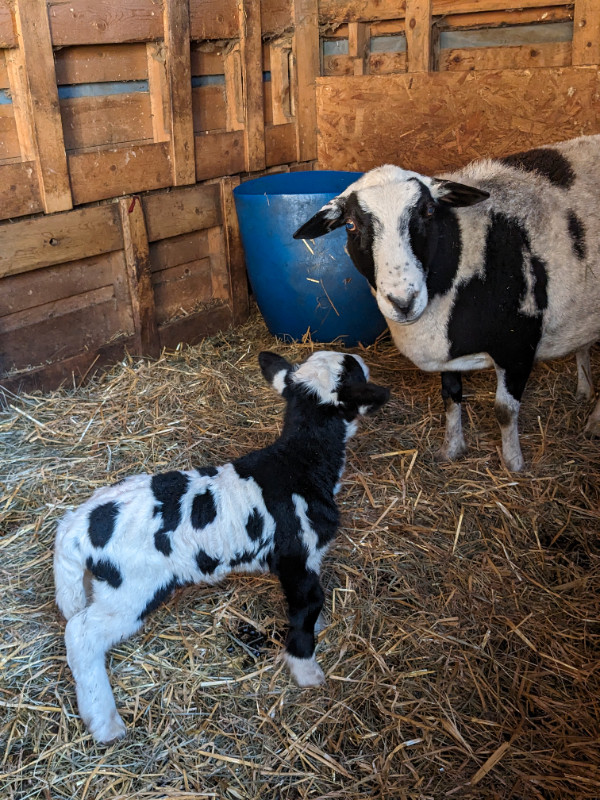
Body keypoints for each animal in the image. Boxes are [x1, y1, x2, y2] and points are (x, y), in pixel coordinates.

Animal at [52, 350, 390, 744]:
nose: (364, 360)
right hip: (131, 590)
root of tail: (77, 526)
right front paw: (306, 670)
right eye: (354, 369)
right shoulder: (296, 558)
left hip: (97, 584)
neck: (299, 463)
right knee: (82, 635)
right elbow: (307, 606)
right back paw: (105, 723)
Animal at [294, 135, 600, 472]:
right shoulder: (450, 357)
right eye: (350, 225)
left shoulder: (519, 345)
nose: (403, 301)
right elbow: (451, 397)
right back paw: (585, 391)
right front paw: (451, 449)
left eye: (429, 210)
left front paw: (514, 464)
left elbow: (505, 411)